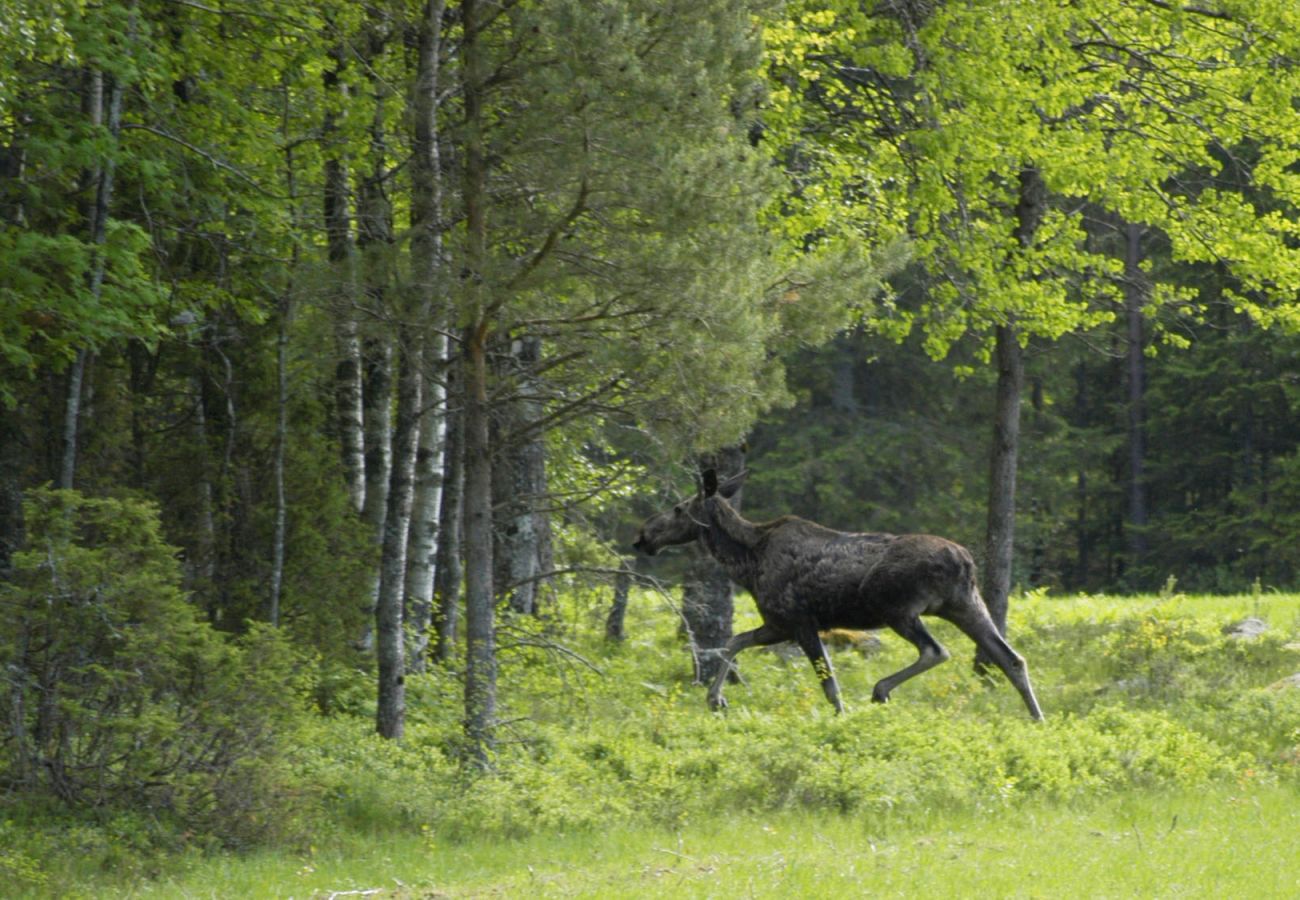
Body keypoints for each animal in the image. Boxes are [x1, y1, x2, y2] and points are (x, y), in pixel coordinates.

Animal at [631, 468, 1045, 723]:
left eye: (678, 508)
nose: (642, 536)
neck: (746, 562)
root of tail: (965, 560)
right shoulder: (777, 624)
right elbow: (735, 641)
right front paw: (716, 699)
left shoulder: (798, 621)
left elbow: (828, 684)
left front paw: (840, 718)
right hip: (965, 605)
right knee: (1012, 658)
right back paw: (1037, 718)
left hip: (900, 610)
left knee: (936, 650)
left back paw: (881, 691)